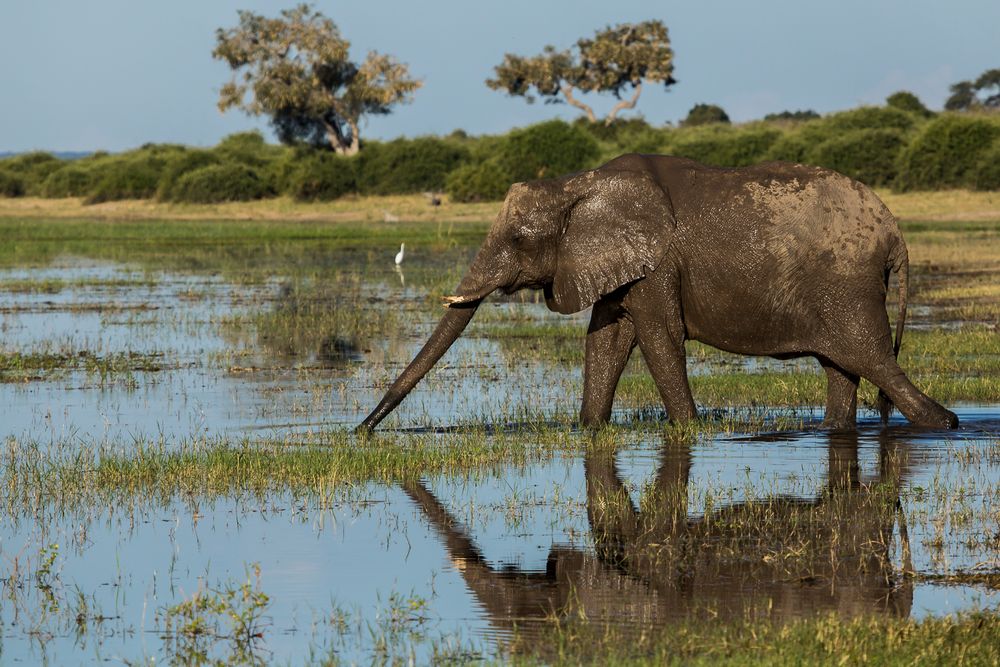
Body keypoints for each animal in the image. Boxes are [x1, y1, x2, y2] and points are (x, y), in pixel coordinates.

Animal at [362, 154, 960, 430]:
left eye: (517, 239)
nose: (362, 430)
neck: (576, 184)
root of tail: (895, 233)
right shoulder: (620, 263)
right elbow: (606, 339)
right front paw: (588, 429)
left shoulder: (657, 262)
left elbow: (657, 336)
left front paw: (689, 429)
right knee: (843, 367)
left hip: (847, 284)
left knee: (873, 360)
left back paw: (947, 426)